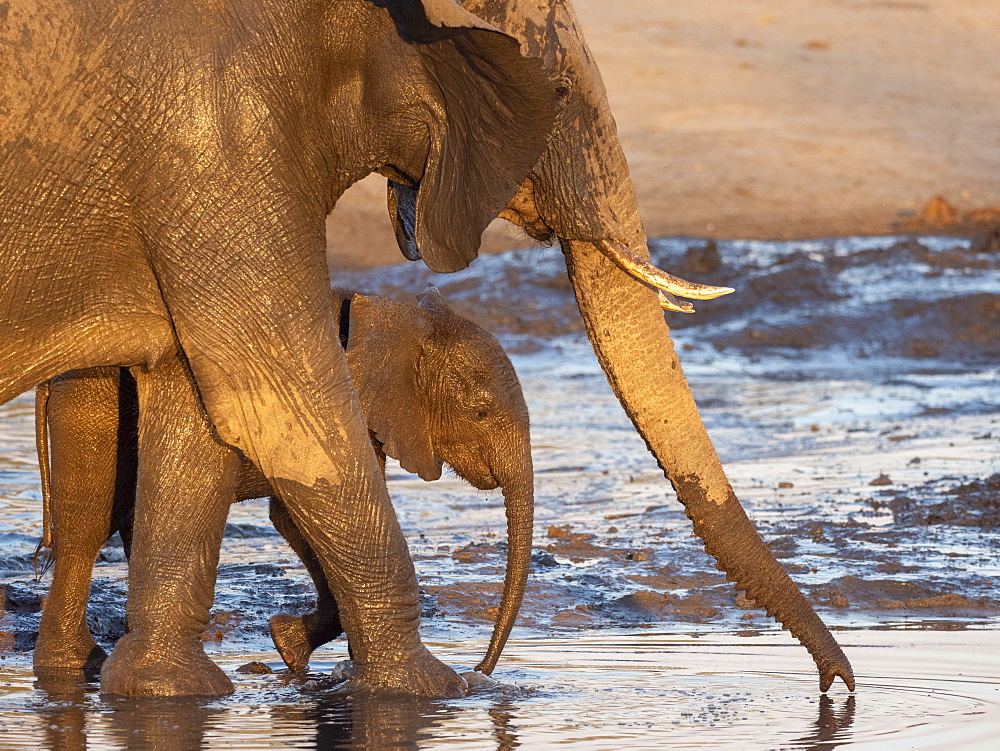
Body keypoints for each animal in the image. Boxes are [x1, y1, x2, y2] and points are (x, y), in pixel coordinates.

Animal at [0, 0, 556, 700]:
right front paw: (291, 647)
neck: (393, 313)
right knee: (89, 522)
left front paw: (290, 655)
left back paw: (76, 672)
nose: (484, 675)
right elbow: (295, 519)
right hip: (92, 408)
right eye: (480, 414)